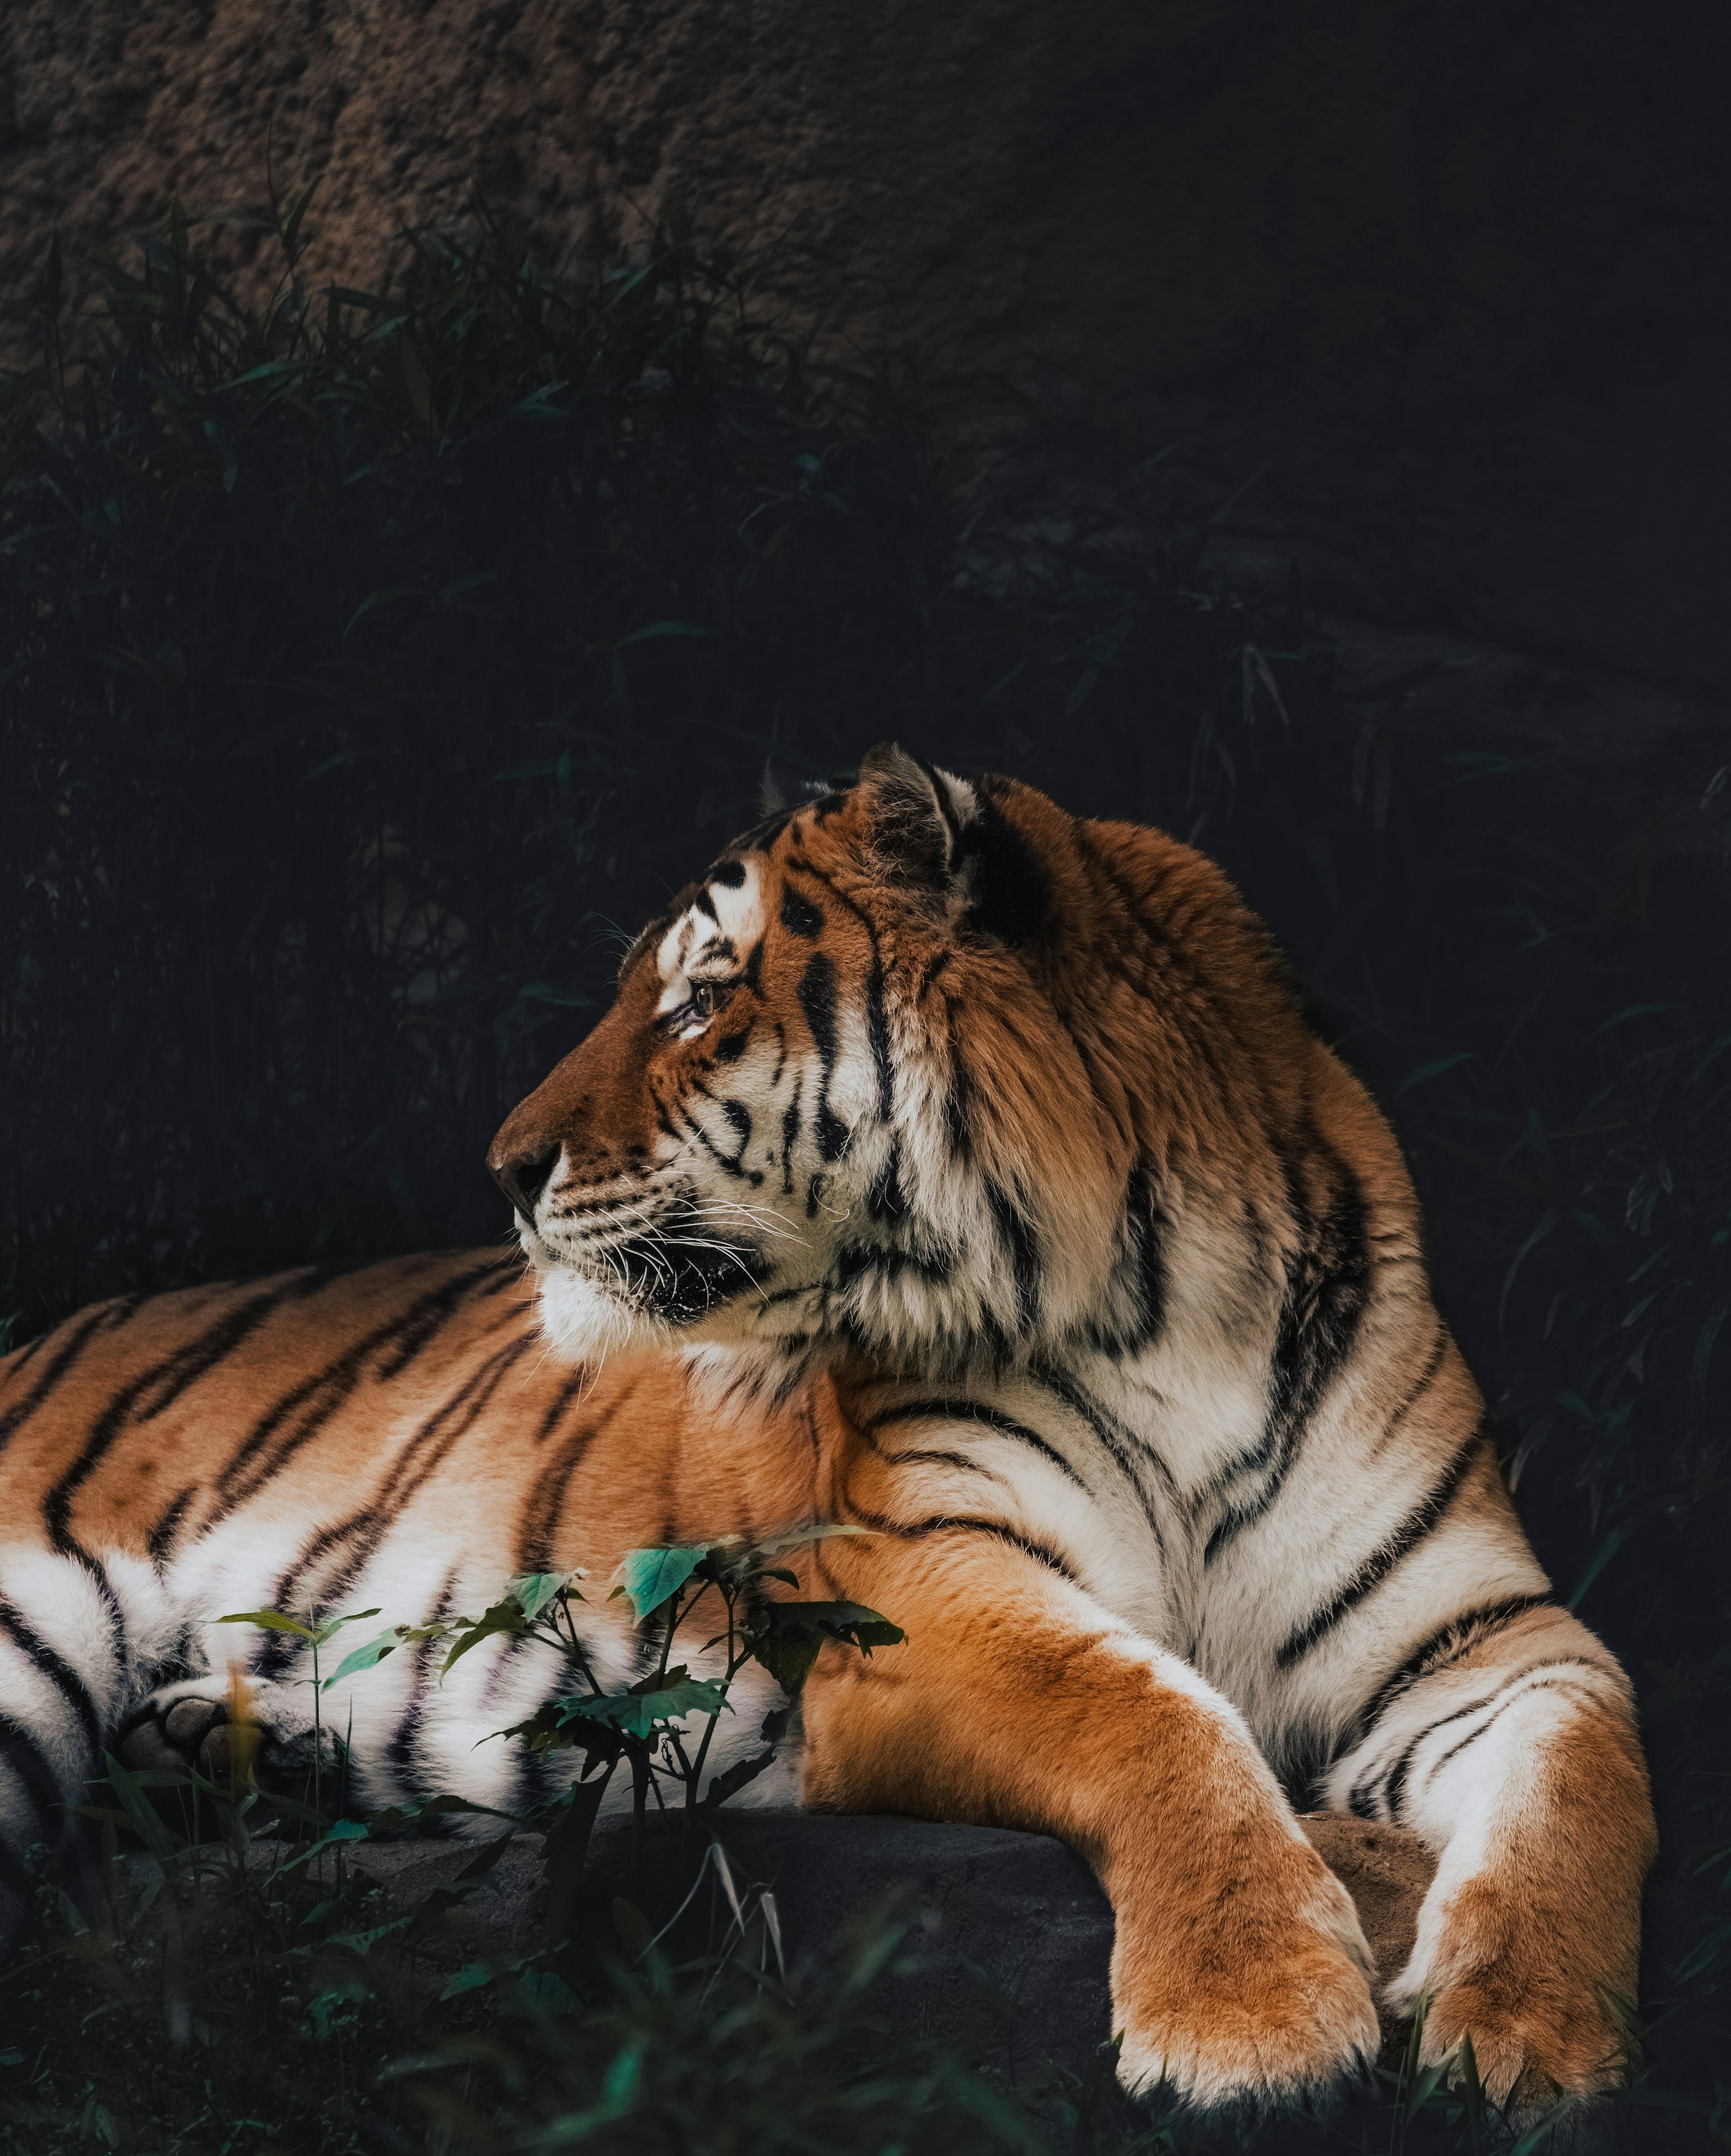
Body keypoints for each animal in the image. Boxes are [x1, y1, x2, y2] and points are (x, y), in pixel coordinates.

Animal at [0, 746, 1655, 2121]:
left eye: (696, 1002)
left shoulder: (1491, 1637)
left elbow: (1587, 1785)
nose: (505, 1169)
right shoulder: (920, 1583)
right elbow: (1162, 1715)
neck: (1178, 1304)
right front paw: (1259, 2026)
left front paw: (1526, 2043)